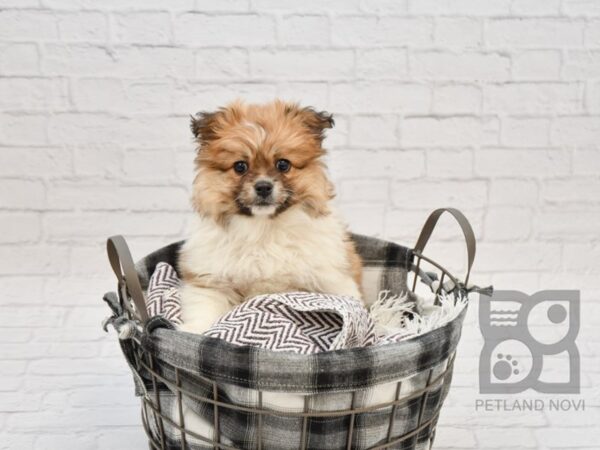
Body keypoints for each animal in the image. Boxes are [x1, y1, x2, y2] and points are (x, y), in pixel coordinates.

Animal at [178, 101, 364, 334]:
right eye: (240, 166)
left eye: (283, 164)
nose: (263, 186)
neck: (263, 228)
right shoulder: (211, 281)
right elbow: (204, 310)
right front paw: (196, 330)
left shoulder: (332, 277)